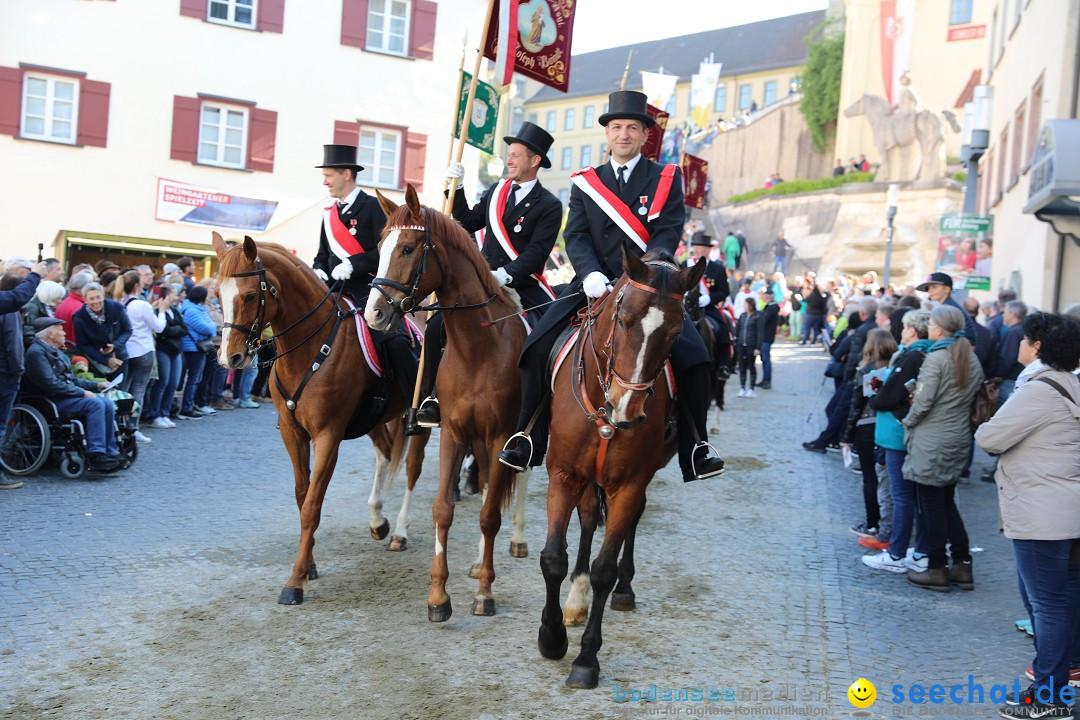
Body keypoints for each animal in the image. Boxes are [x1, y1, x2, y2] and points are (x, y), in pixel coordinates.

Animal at [208, 234, 427, 604]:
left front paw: (295, 581)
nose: (230, 358)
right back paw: (377, 519)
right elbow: (302, 496)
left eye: (250, 295)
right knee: (385, 454)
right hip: (374, 419)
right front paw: (308, 565)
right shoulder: (292, 433)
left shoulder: (328, 436)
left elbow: (312, 505)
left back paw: (399, 530)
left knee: (413, 470)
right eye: (216, 294)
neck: (308, 350)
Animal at [362, 187, 531, 626]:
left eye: (407, 248)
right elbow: (443, 509)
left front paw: (485, 592)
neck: (479, 347)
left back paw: (514, 542)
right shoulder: (454, 432)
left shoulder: (501, 436)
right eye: (380, 248)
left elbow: (490, 515)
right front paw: (438, 596)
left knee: (515, 484)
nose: (374, 314)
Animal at [535, 250, 704, 690]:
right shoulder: (564, 475)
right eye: (624, 319)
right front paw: (552, 636)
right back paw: (574, 601)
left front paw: (586, 660)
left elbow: (604, 569)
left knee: (629, 522)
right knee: (588, 520)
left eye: (676, 332)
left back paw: (623, 590)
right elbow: (553, 558)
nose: (626, 410)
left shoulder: (628, 484)